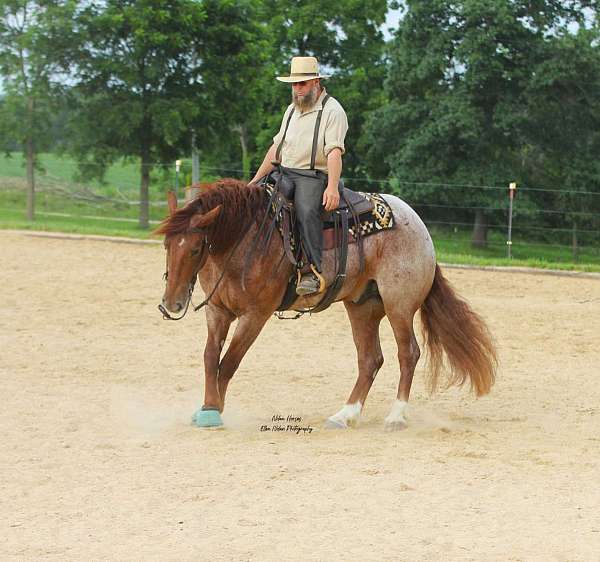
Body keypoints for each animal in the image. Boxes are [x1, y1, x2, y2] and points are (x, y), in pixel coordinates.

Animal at [155, 179, 496, 428]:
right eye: (167, 244)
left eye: (196, 248)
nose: (171, 303)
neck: (244, 238)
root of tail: (420, 227)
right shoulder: (218, 311)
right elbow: (210, 358)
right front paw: (207, 406)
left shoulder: (255, 315)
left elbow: (229, 363)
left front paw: (215, 411)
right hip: (362, 307)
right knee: (370, 359)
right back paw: (345, 415)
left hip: (399, 306)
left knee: (408, 353)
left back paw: (396, 416)